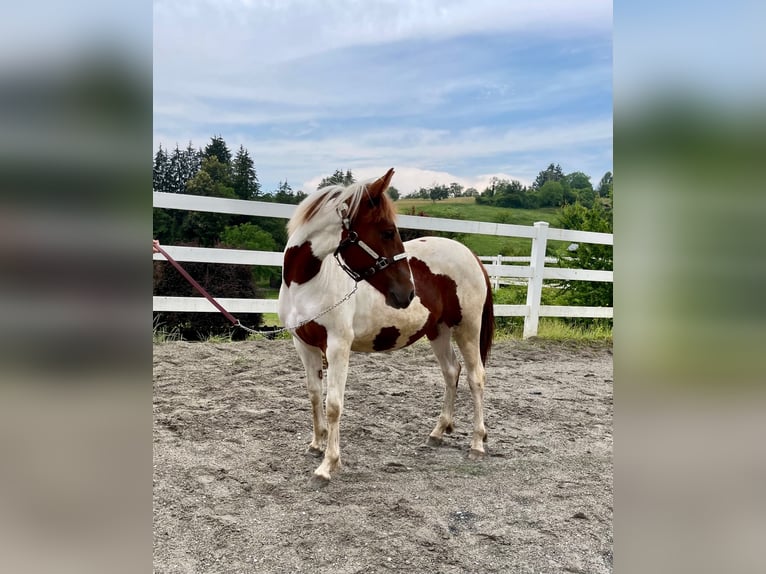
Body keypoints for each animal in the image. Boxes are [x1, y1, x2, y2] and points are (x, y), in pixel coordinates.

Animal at [280, 169, 496, 488]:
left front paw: (328, 465)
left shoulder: (338, 346)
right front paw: (316, 445)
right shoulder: (303, 344)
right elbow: (314, 394)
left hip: (466, 328)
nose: (407, 293)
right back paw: (438, 432)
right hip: (438, 330)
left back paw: (477, 443)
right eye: (387, 232)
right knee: (451, 372)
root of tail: (473, 256)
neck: (308, 283)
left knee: (475, 377)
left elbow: (333, 405)